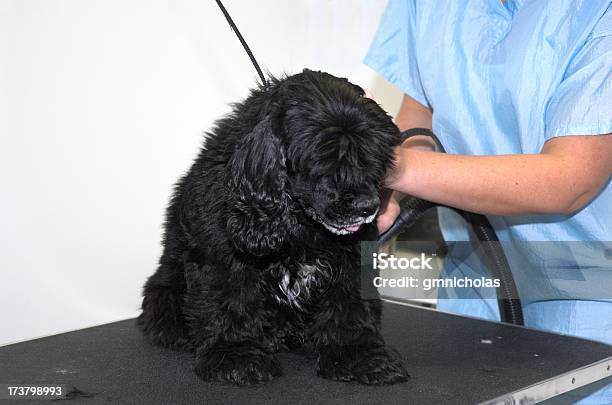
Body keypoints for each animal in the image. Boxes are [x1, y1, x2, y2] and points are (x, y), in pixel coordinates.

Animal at [136, 69, 408, 386]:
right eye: (323, 158)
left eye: (371, 155)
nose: (368, 206)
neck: (298, 222)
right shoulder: (223, 256)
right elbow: (231, 302)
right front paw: (237, 355)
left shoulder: (351, 260)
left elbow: (350, 307)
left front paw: (359, 356)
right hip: (164, 289)